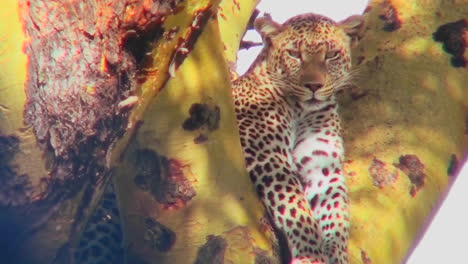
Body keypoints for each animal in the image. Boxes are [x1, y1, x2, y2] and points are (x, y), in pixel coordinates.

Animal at [232, 12, 364, 264]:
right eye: (294, 54)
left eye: (331, 55)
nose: (313, 85)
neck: (300, 111)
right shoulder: (266, 154)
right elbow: (297, 209)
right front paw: (311, 255)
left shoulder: (322, 164)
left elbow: (336, 213)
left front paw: (336, 254)